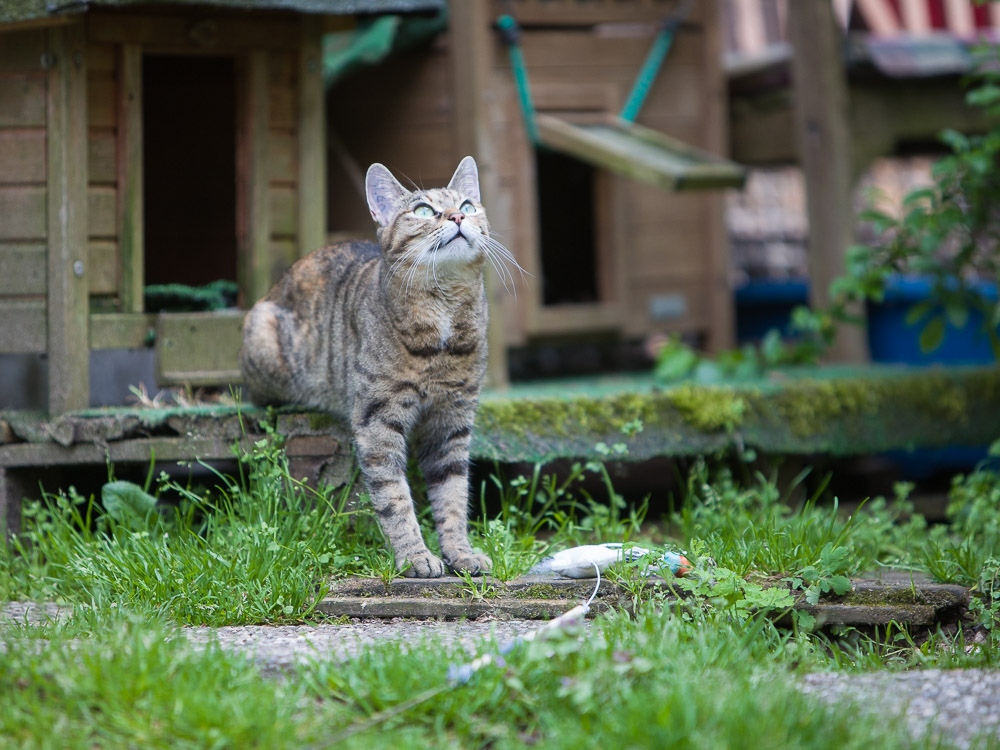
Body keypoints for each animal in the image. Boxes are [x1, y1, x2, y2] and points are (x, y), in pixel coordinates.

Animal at [238, 157, 512, 580]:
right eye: (423, 211)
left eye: (467, 205)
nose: (456, 216)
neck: (443, 315)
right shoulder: (377, 420)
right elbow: (394, 496)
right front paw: (415, 557)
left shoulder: (452, 420)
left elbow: (453, 495)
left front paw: (460, 553)